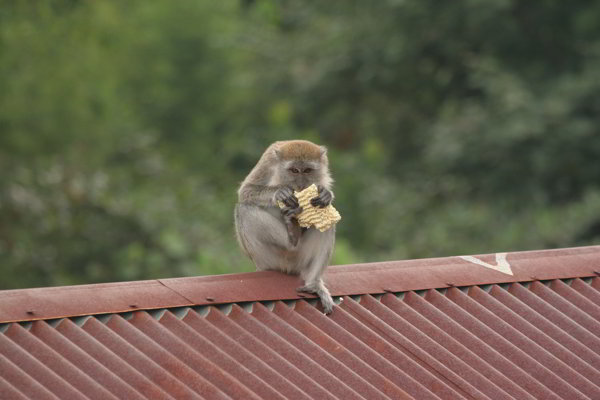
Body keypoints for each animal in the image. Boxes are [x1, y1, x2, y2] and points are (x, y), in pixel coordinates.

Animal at [234, 139, 338, 314]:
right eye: (294, 170)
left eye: (307, 170)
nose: (301, 184)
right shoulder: (267, 162)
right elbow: (246, 191)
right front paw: (279, 193)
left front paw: (326, 194)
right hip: (271, 259)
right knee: (243, 209)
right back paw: (291, 238)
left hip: (301, 260)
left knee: (327, 224)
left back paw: (314, 283)